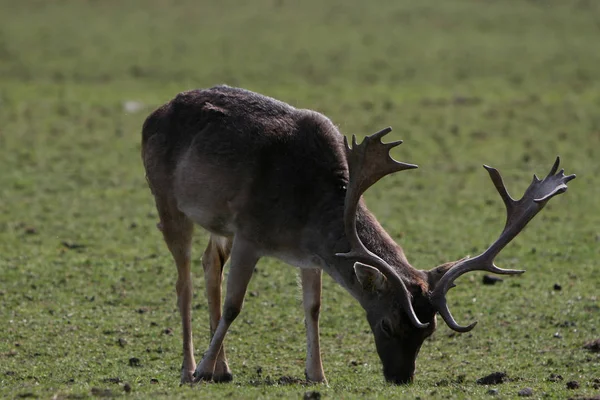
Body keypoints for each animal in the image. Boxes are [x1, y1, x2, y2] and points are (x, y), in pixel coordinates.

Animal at [142, 86, 576, 386]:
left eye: (429, 332)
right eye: (386, 325)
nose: (401, 378)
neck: (303, 213)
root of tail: (152, 115)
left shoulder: (308, 256)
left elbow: (313, 308)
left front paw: (317, 375)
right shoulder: (250, 231)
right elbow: (235, 306)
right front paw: (200, 371)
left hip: (217, 224)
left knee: (209, 263)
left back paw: (224, 368)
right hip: (167, 200)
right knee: (183, 282)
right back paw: (190, 367)